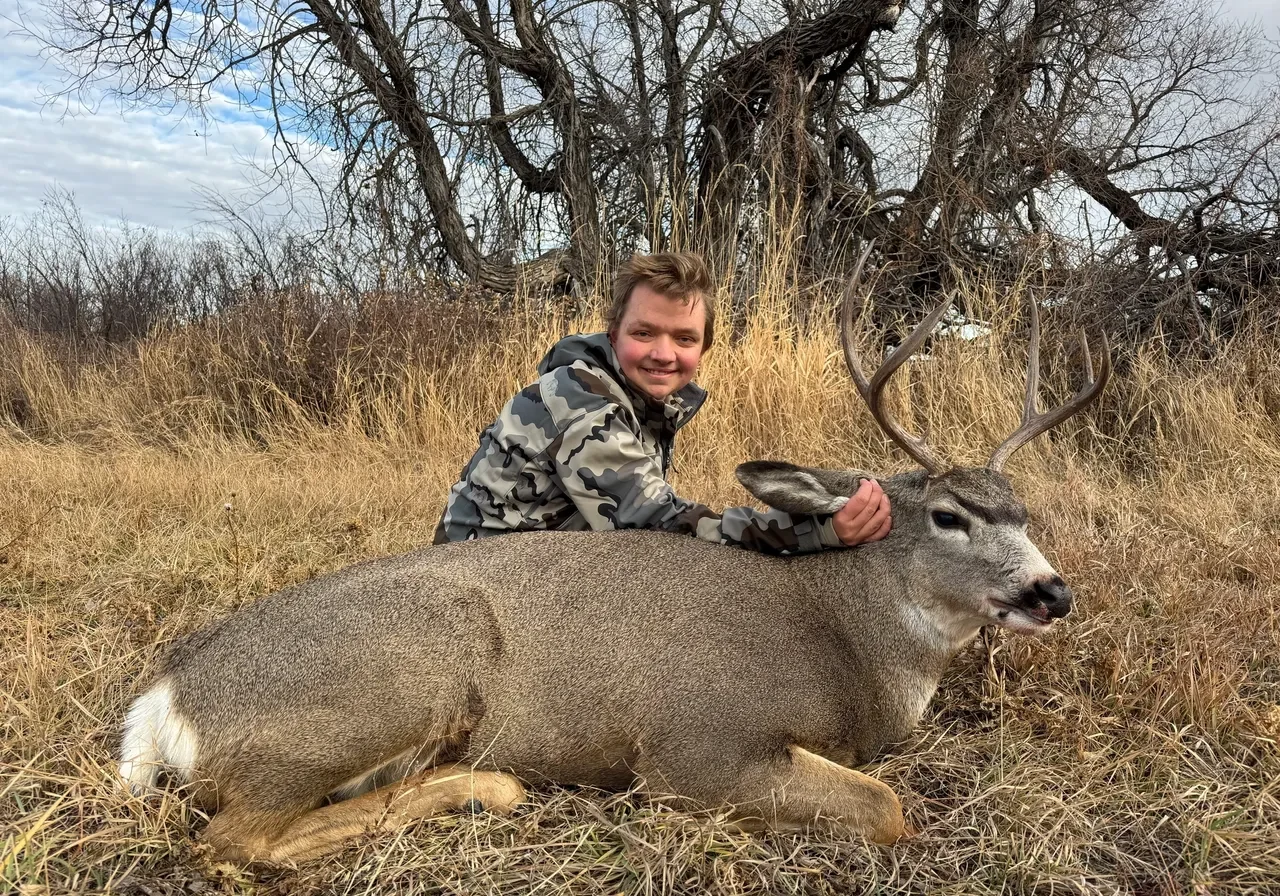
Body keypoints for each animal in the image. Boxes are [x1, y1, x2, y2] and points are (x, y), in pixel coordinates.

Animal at [118, 246, 1110, 865]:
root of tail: (165, 700)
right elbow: (890, 809)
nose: (1051, 591)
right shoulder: (697, 745)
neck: (847, 643)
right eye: (948, 515)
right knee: (231, 840)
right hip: (395, 677)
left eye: (1024, 510)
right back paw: (484, 785)